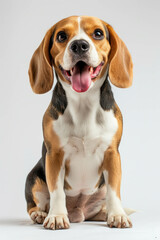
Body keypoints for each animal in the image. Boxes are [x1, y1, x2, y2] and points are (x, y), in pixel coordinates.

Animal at [25, 15, 133, 230]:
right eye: (61, 36)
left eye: (98, 33)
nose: (80, 45)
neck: (83, 103)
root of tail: (79, 213)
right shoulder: (54, 156)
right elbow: (57, 191)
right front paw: (57, 216)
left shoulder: (112, 154)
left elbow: (114, 191)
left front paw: (117, 215)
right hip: (33, 178)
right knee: (34, 205)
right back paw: (41, 214)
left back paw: (106, 212)